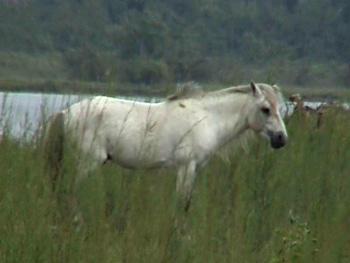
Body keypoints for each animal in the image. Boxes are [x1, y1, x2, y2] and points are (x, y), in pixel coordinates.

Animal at [44, 82, 288, 210]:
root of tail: (65, 113)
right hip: (88, 162)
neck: (207, 117)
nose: (281, 139)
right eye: (265, 109)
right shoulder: (186, 167)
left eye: (280, 108)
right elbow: (182, 205)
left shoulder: (192, 170)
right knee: (71, 192)